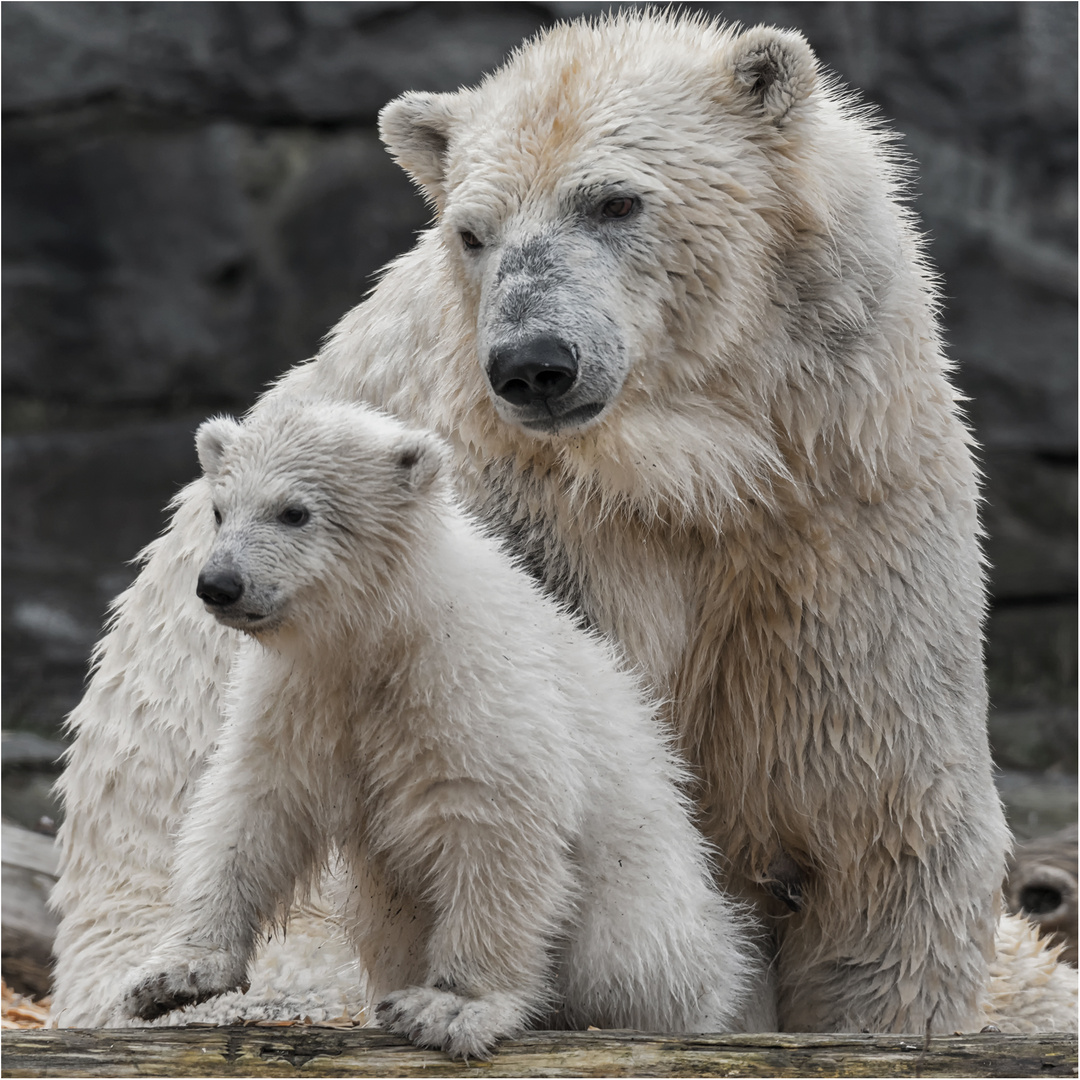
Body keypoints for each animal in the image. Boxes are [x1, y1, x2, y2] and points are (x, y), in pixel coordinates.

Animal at [50, 14, 1071, 1028]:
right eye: (472, 231)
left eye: (615, 202)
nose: (533, 363)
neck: (690, 470)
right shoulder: (528, 531)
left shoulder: (843, 491)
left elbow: (873, 811)